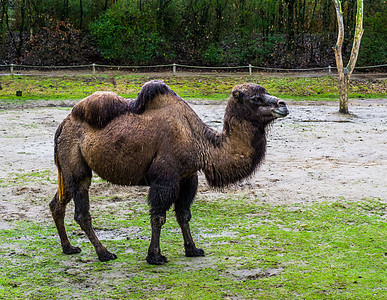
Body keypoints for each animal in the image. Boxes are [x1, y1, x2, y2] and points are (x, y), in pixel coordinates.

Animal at [50, 79, 290, 264]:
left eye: (264, 92)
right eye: (255, 98)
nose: (283, 104)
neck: (200, 142)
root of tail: (63, 125)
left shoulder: (187, 177)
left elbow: (184, 214)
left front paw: (193, 249)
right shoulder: (165, 177)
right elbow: (158, 217)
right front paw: (155, 256)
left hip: (68, 168)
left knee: (57, 203)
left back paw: (69, 247)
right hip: (76, 165)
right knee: (81, 211)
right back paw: (104, 253)